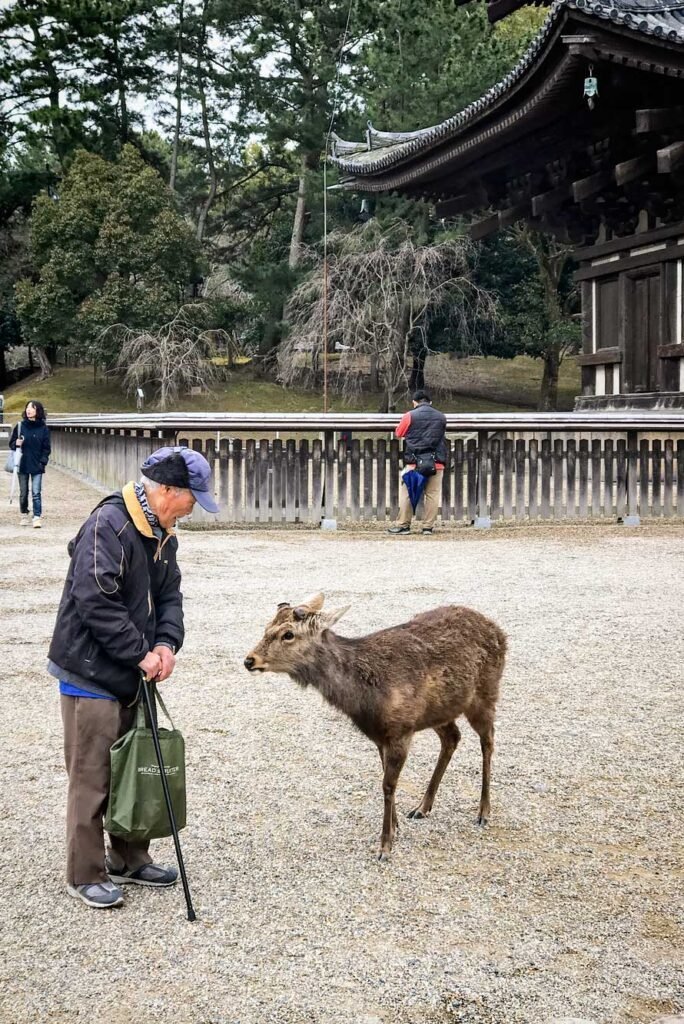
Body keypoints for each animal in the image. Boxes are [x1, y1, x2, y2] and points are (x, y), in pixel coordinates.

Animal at [244, 593, 506, 860]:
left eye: (288, 634)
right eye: (266, 627)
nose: (249, 660)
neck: (364, 698)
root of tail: (498, 630)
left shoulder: (401, 731)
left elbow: (388, 785)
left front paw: (385, 845)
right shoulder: (381, 735)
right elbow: (385, 778)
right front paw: (396, 826)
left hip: (485, 694)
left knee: (488, 741)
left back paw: (483, 811)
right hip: (440, 711)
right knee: (452, 737)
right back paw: (422, 807)